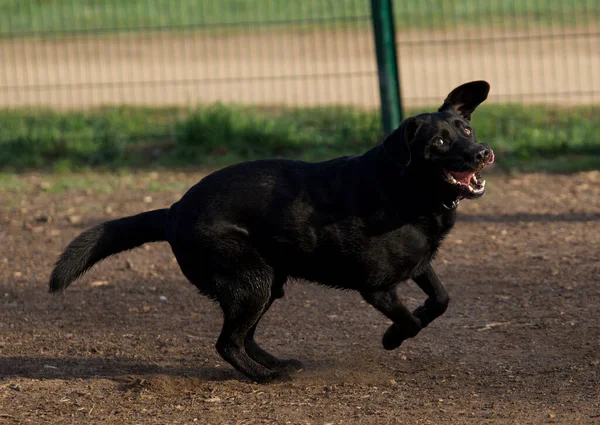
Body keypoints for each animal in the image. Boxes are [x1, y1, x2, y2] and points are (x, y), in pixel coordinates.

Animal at [49, 78, 494, 380]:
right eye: (439, 142)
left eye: (467, 130)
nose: (483, 152)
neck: (407, 189)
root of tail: (173, 211)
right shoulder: (377, 286)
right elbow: (410, 320)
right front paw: (391, 338)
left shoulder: (418, 263)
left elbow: (441, 299)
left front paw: (415, 317)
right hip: (251, 281)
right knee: (227, 343)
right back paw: (267, 376)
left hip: (266, 284)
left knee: (242, 337)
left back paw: (277, 362)